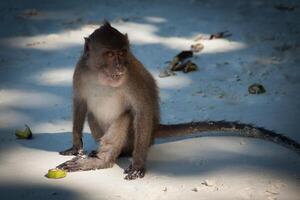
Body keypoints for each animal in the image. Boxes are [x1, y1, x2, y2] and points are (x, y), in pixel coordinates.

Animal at [58, 21, 300, 180]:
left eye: (122, 53)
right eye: (109, 54)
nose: (119, 66)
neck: (102, 77)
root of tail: (155, 130)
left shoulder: (132, 76)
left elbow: (142, 109)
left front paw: (138, 164)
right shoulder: (80, 72)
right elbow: (80, 103)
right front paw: (75, 146)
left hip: (139, 138)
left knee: (127, 117)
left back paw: (104, 159)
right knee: (92, 113)